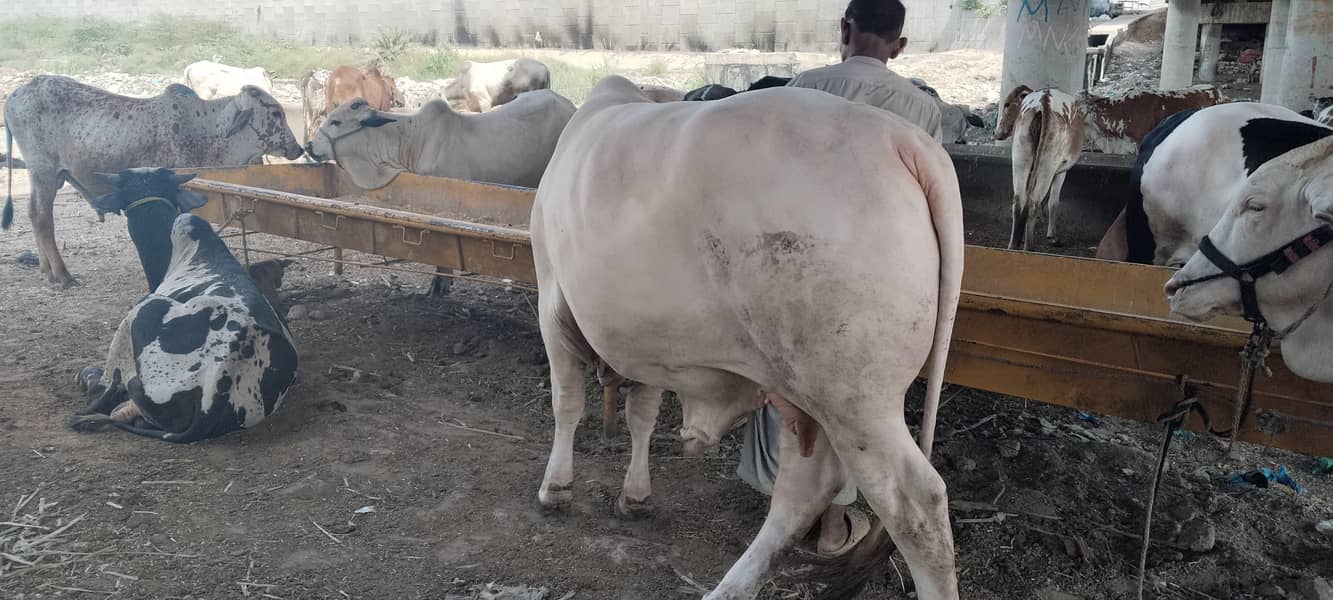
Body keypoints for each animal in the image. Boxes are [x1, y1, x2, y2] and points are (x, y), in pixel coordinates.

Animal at [2, 76, 304, 286]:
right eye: (275, 113)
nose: (298, 148)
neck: (209, 131)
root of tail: (17, 93)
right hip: (44, 173)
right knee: (43, 218)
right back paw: (62, 275)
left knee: (33, 214)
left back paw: (47, 269)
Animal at [533, 76, 962, 600]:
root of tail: (903, 139)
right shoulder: (646, 343)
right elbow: (642, 415)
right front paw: (635, 495)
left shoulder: (552, 303)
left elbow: (566, 403)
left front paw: (555, 488)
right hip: (805, 390)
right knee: (804, 489)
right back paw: (730, 587)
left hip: (856, 399)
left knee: (916, 505)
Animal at [994, 85, 1085, 250]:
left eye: (1007, 104)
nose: (995, 132)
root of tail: (1044, 100)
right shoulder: (1061, 172)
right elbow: (1053, 202)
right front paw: (1052, 237)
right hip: (1047, 167)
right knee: (1033, 203)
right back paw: (1028, 247)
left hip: (1020, 159)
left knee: (1019, 202)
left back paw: (1013, 244)